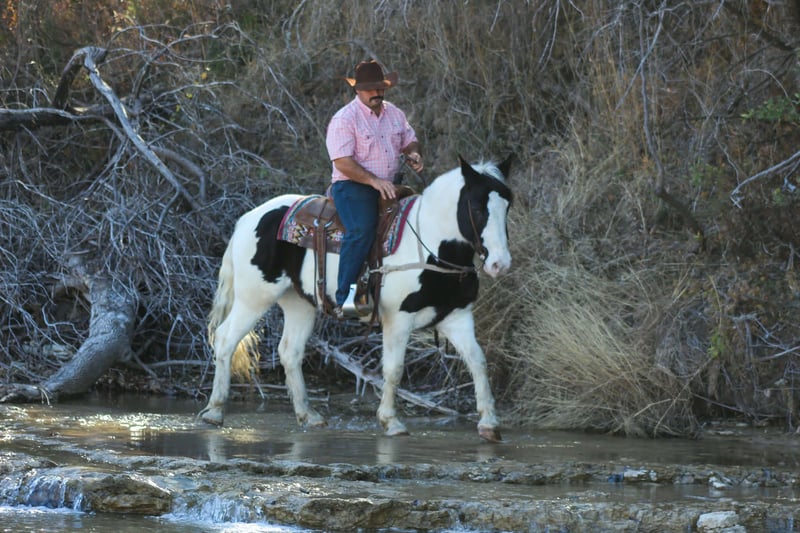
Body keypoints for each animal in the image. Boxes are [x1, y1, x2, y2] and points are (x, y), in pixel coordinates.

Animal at [198, 155, 513, 442]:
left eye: (507, 206)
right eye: (477, 207)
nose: (500, 264)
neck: (432, 247)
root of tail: (248, 218)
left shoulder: (457, 316)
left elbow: (478, 362)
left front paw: (490, 424)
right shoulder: (398, 319)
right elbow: (394, 369)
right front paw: (391, 422)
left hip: (299, 303)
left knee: (290, 351)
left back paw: (309, 415)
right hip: (253, 298)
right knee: (225, 339)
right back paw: (214, 412)